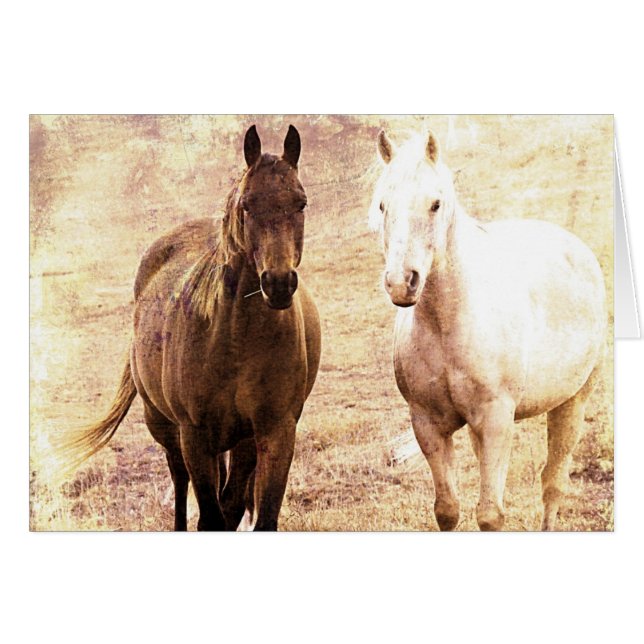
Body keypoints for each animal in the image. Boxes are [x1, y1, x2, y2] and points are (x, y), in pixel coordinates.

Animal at [66, 125, 321, 531]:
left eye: (301, 203)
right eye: (247, 204)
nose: (278, 283)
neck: (236, 339)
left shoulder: (275, 433)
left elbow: (251, 513)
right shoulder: (195, 436)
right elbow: (210, 516)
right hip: (167, 429)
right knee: (180, 481)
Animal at [369, 129, 607, 531]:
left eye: (435, 204)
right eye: (384, 206)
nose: (401, 283)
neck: (448, 323)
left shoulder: (496, 421)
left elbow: (491, 515)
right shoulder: (428, 424)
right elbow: (447, 510)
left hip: (572, 403)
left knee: (553, 483)